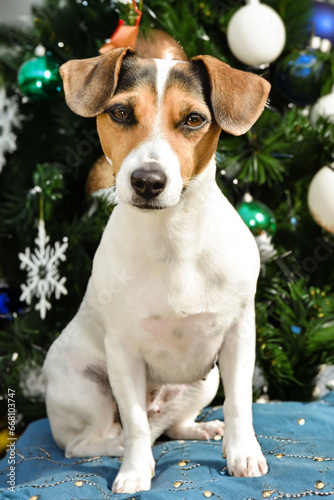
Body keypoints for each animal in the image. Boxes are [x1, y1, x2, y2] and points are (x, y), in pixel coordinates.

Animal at [42, 29, 272, 494]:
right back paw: (125, 446)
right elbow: (132, 422)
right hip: (86, 383)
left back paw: (200, 428)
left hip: (205, 379)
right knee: (94, 440)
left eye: (194, 120)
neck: (172, 239)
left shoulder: (238, 337)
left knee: (173, 424)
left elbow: (241, 404)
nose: (147, 181)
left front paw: (243, 454)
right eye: (120, 112)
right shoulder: (123, 353)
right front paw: (134, 469)